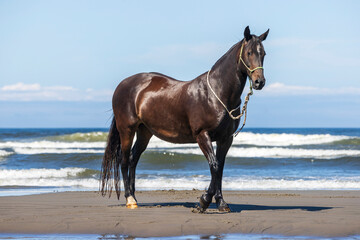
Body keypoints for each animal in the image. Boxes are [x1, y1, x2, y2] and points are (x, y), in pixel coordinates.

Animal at [100, 26, 268, 212]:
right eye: (249, 52)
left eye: (263, 53)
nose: (259, 82)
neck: (216, 93)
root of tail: (123, 84)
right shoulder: (202, 135)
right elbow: (214, 166)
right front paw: (203, 201)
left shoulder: (226, 139)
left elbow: (220, 168)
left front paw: (221, 203)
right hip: (127, 130)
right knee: (123, 161)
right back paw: (130, 199)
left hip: (145, 132)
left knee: (132, 160)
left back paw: (135, 198)